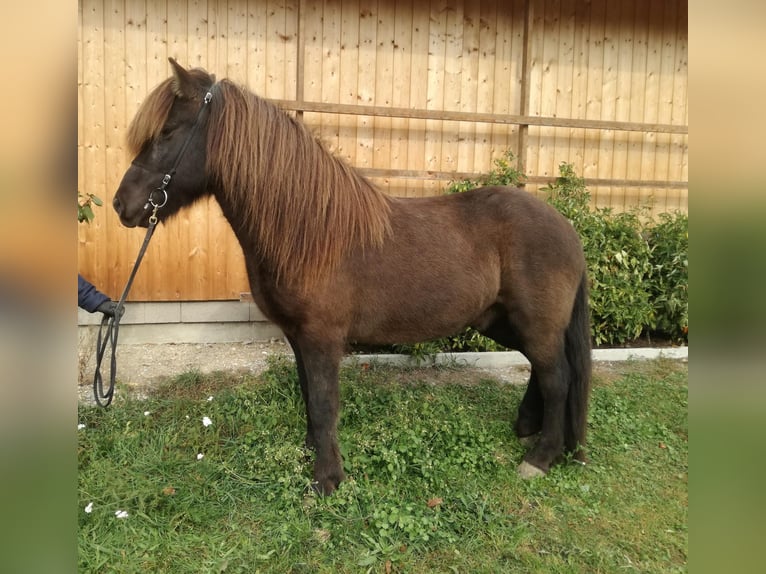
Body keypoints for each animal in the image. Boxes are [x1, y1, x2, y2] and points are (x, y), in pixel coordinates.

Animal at [113, 58, 592, 495]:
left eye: (168, 133)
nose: (122, 205)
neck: (307, 231)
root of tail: (566, 227)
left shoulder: (322, 338)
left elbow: (325, 403)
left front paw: (327, 479)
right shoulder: (298, 337)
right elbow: (309, 395)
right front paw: (313, 452)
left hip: (533, 323)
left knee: (558, 377)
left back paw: (540, 457)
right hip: (501, 321)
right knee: (543, 370)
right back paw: (527, 427)